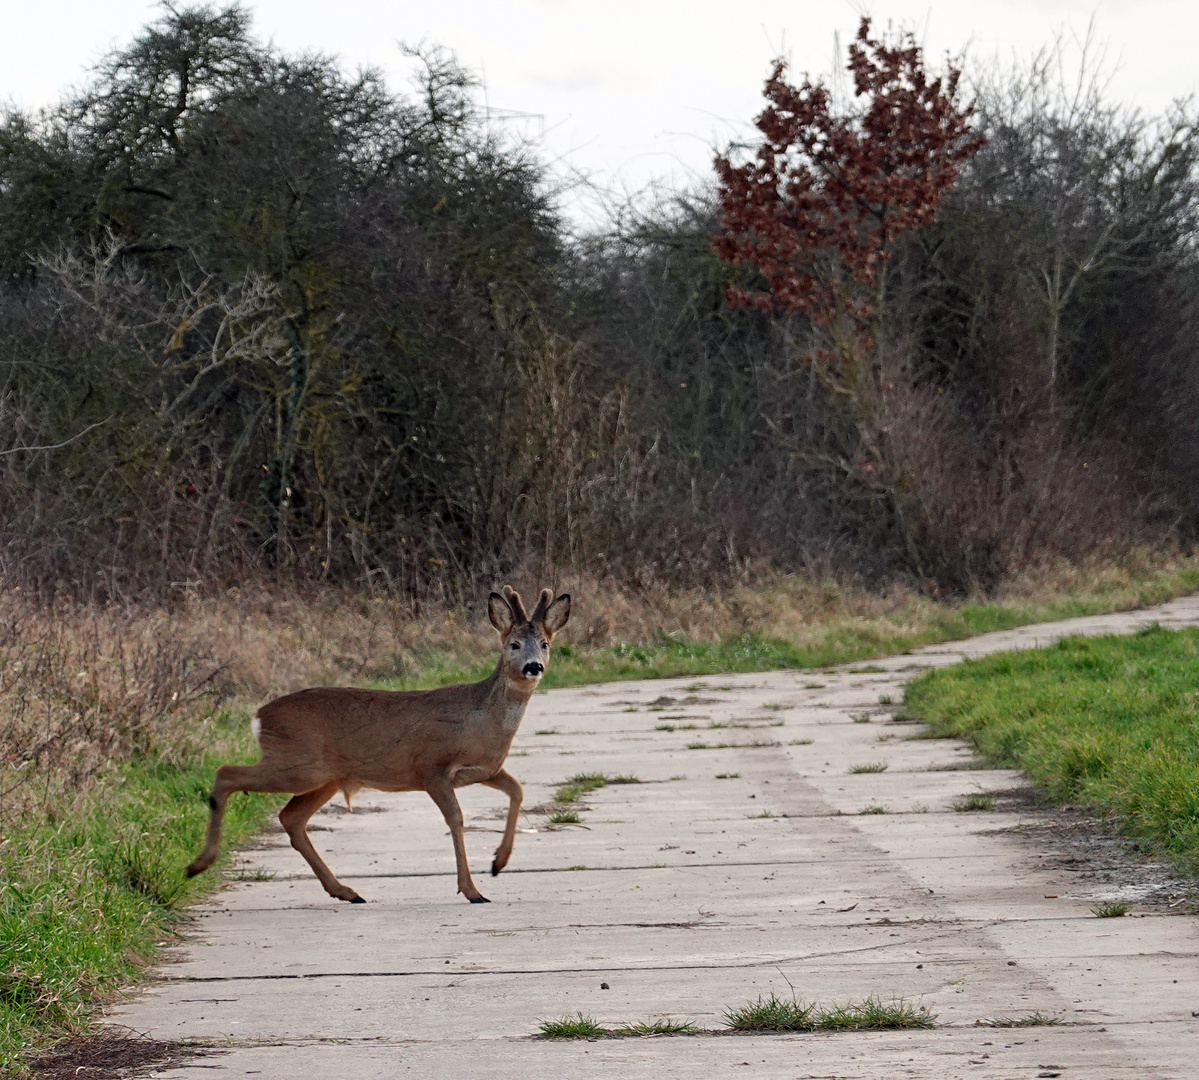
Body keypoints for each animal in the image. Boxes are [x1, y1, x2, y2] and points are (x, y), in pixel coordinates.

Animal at [187, 582, 570, 901]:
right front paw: (472, 889)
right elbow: (457, 820)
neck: (480, 721)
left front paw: (498, 863)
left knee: (290, 818)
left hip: (324, 776)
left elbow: (517, 790)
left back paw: (345, 891)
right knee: (227, 773)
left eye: (545, 643)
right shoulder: (431, 767)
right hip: (298, 765)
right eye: (513, 644)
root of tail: (259, 717)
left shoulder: (485, 769)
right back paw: (198, 864)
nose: (533, 667)